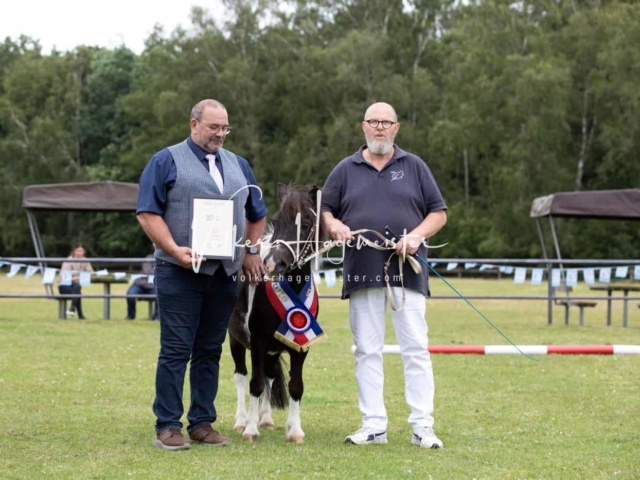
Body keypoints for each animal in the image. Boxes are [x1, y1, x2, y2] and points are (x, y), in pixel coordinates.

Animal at [229, 183, 324, 442]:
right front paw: (250, 430)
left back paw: (266, 419)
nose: (273, 265)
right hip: (235, 340)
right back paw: (241, 421)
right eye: (275, 220)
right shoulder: (258, 342)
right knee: (241, 376)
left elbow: (295, 386)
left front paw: (295, 431)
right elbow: (255, 384)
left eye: (307, 223)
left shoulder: (300, 344)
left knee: (270, 376)